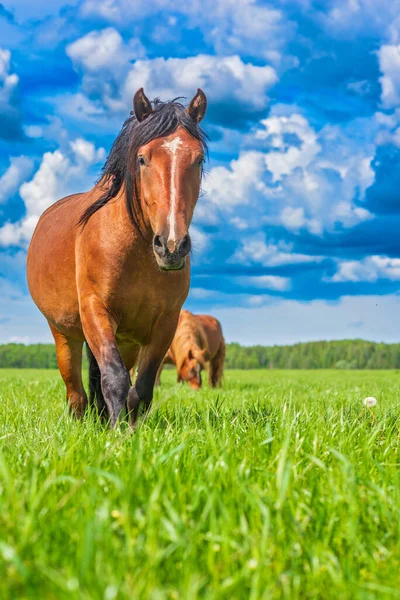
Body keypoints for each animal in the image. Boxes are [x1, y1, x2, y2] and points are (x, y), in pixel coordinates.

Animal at [27, 88, 208, 426]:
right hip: (65, 334)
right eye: (142, 158)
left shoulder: (165, 322)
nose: (171, 246)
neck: (138, 253)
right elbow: (114, 378)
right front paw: (116, 431)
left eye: (199, 158)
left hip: (127, 340)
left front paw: (131, 427)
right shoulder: (95, 311)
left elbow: (142, 386)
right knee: (76, 392)